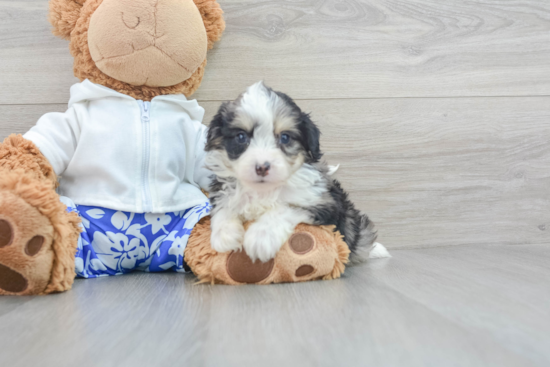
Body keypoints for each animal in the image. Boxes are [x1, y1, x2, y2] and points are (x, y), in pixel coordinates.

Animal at [204, 82, 388, 264]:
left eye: (285, 137)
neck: (264, 190)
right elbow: (224, 206)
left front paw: (261, 236)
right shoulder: (222, 190)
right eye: (241, 137)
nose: (262, 167)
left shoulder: (324, 204)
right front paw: (225, 235)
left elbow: (286, 207)